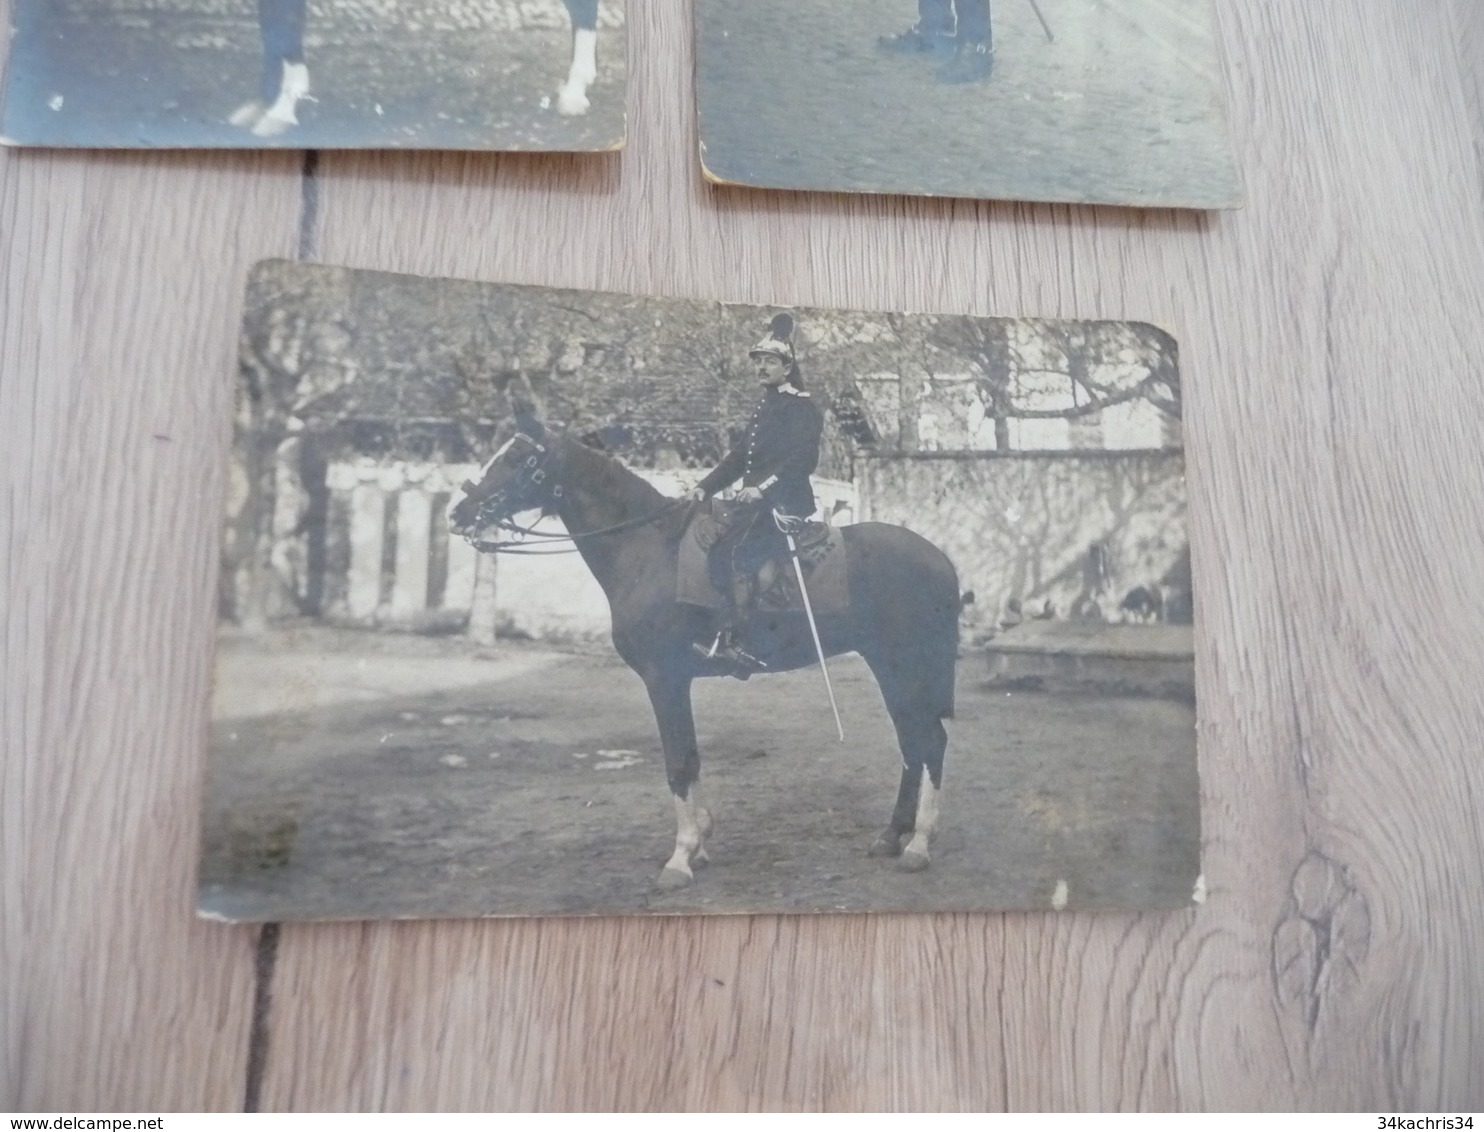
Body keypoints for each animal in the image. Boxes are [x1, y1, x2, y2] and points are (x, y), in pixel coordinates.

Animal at [448, 412, 961, 890]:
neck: (647, 549)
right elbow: (690, 757)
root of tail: (938, 557)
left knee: (930, 741)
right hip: (888, 666)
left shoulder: (663, 679)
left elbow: (678, 762)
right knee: (911, 743)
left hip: (906, 665)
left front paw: (681, 856)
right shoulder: (674, 681)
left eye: (517, 457)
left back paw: (918, 844)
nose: (459, 512)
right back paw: (891, 836)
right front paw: (699, 844)